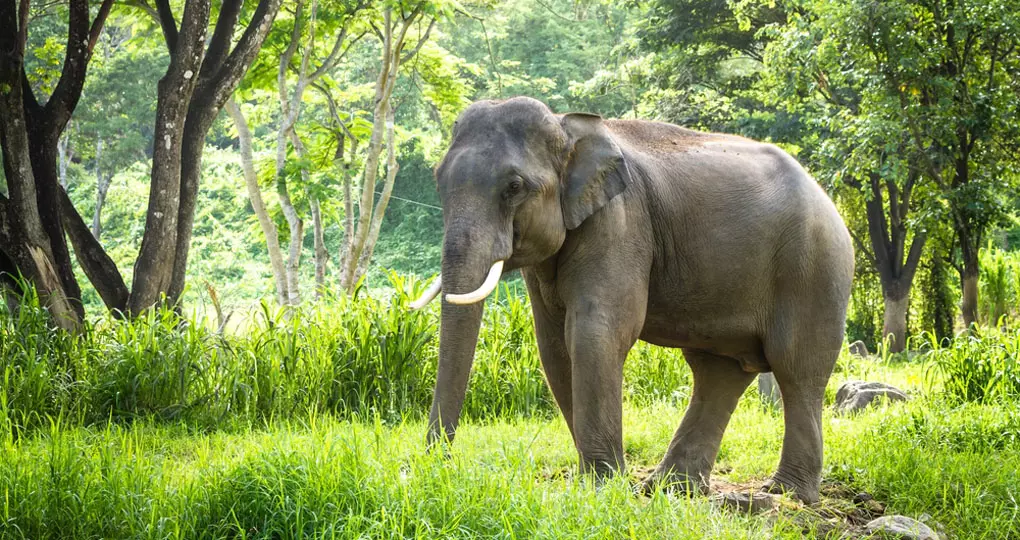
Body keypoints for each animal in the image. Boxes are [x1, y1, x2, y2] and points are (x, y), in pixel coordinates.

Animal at [410, 96, 853, 504]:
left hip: (814, 268)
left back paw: (786, 495)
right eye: (436, 179)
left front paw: (603, 487)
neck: (566, 126)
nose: (438, 468)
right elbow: (554, 346)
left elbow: (596, 332)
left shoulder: (621, 221)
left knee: (796, 368)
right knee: (718, 371)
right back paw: (671, 488)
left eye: (514, 187)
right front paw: (604, 483)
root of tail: (826, 196)